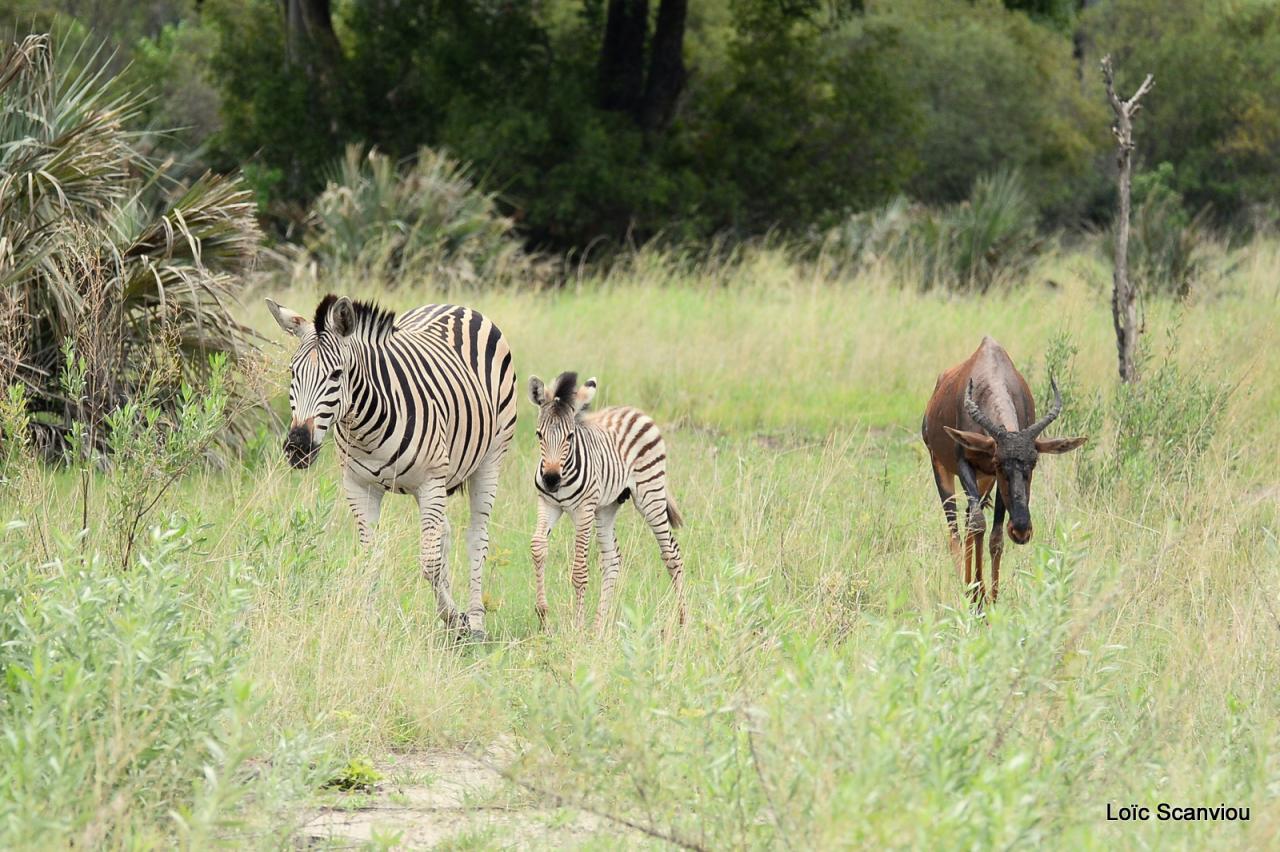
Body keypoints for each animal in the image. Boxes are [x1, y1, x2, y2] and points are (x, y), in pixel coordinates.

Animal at [267, 294, 517, 637]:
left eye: (336, 375)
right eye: (293, 372)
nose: (298, 447)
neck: (365, 426)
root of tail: (457, 307)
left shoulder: (430, 482)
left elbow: (429, 564)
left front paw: (456, 618)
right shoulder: (358, 486)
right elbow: (370, 557)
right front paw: (368, 624)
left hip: (489, 459)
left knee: (476, 538)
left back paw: (477, 621)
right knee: (444, 532)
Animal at [527, 370, 691, 629]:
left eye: (570, 437)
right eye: (539, 434)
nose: (551, 480)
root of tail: (636, 410)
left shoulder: (584, 510)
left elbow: (579, 570)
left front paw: (577, 627)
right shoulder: (548, 503)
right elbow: (537, 547)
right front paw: (543, 615)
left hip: (650, 495)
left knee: (671, 554)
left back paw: (683, 621)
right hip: (606, 507)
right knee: (612, 560)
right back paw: (598, 627)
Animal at [926, 335, 1085, 601]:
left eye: (1033, 462)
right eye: (999, 462)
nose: (1021, 530)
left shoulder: (995, 482)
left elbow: (996, 537)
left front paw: (991, 600)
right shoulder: (966, 464)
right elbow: (979, 523)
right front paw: (977, 597)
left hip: (984, 482)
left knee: (969, 522)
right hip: (941, 466)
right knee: (955, 528)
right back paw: (965, 587)